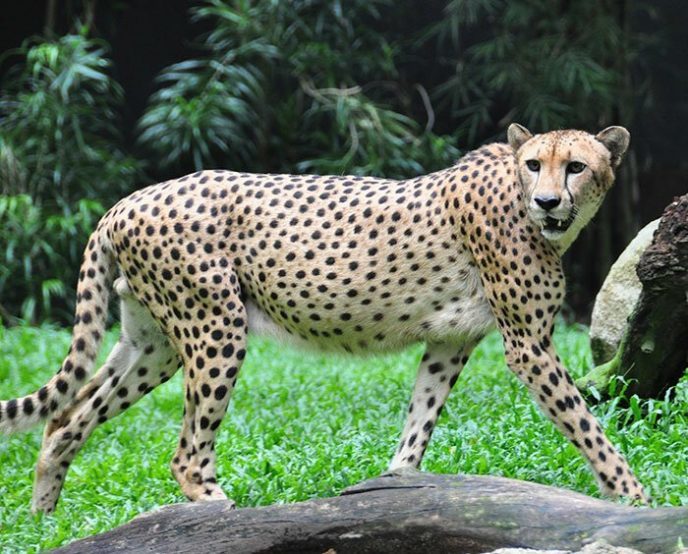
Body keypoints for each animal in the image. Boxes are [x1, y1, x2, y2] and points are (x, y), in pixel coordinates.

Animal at [0, 123, 648, 512]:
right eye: (536, 164)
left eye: (576, 167)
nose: (547, 201)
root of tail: (129, 199)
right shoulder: (528, 345)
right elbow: (586, 424)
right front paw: (635, 494)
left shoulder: (450, 343)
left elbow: (419, 421)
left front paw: (397, 486)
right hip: (216, 327)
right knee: (185, 452)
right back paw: (219, 511)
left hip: (153, 341)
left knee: (64, 421)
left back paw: (45, 523)